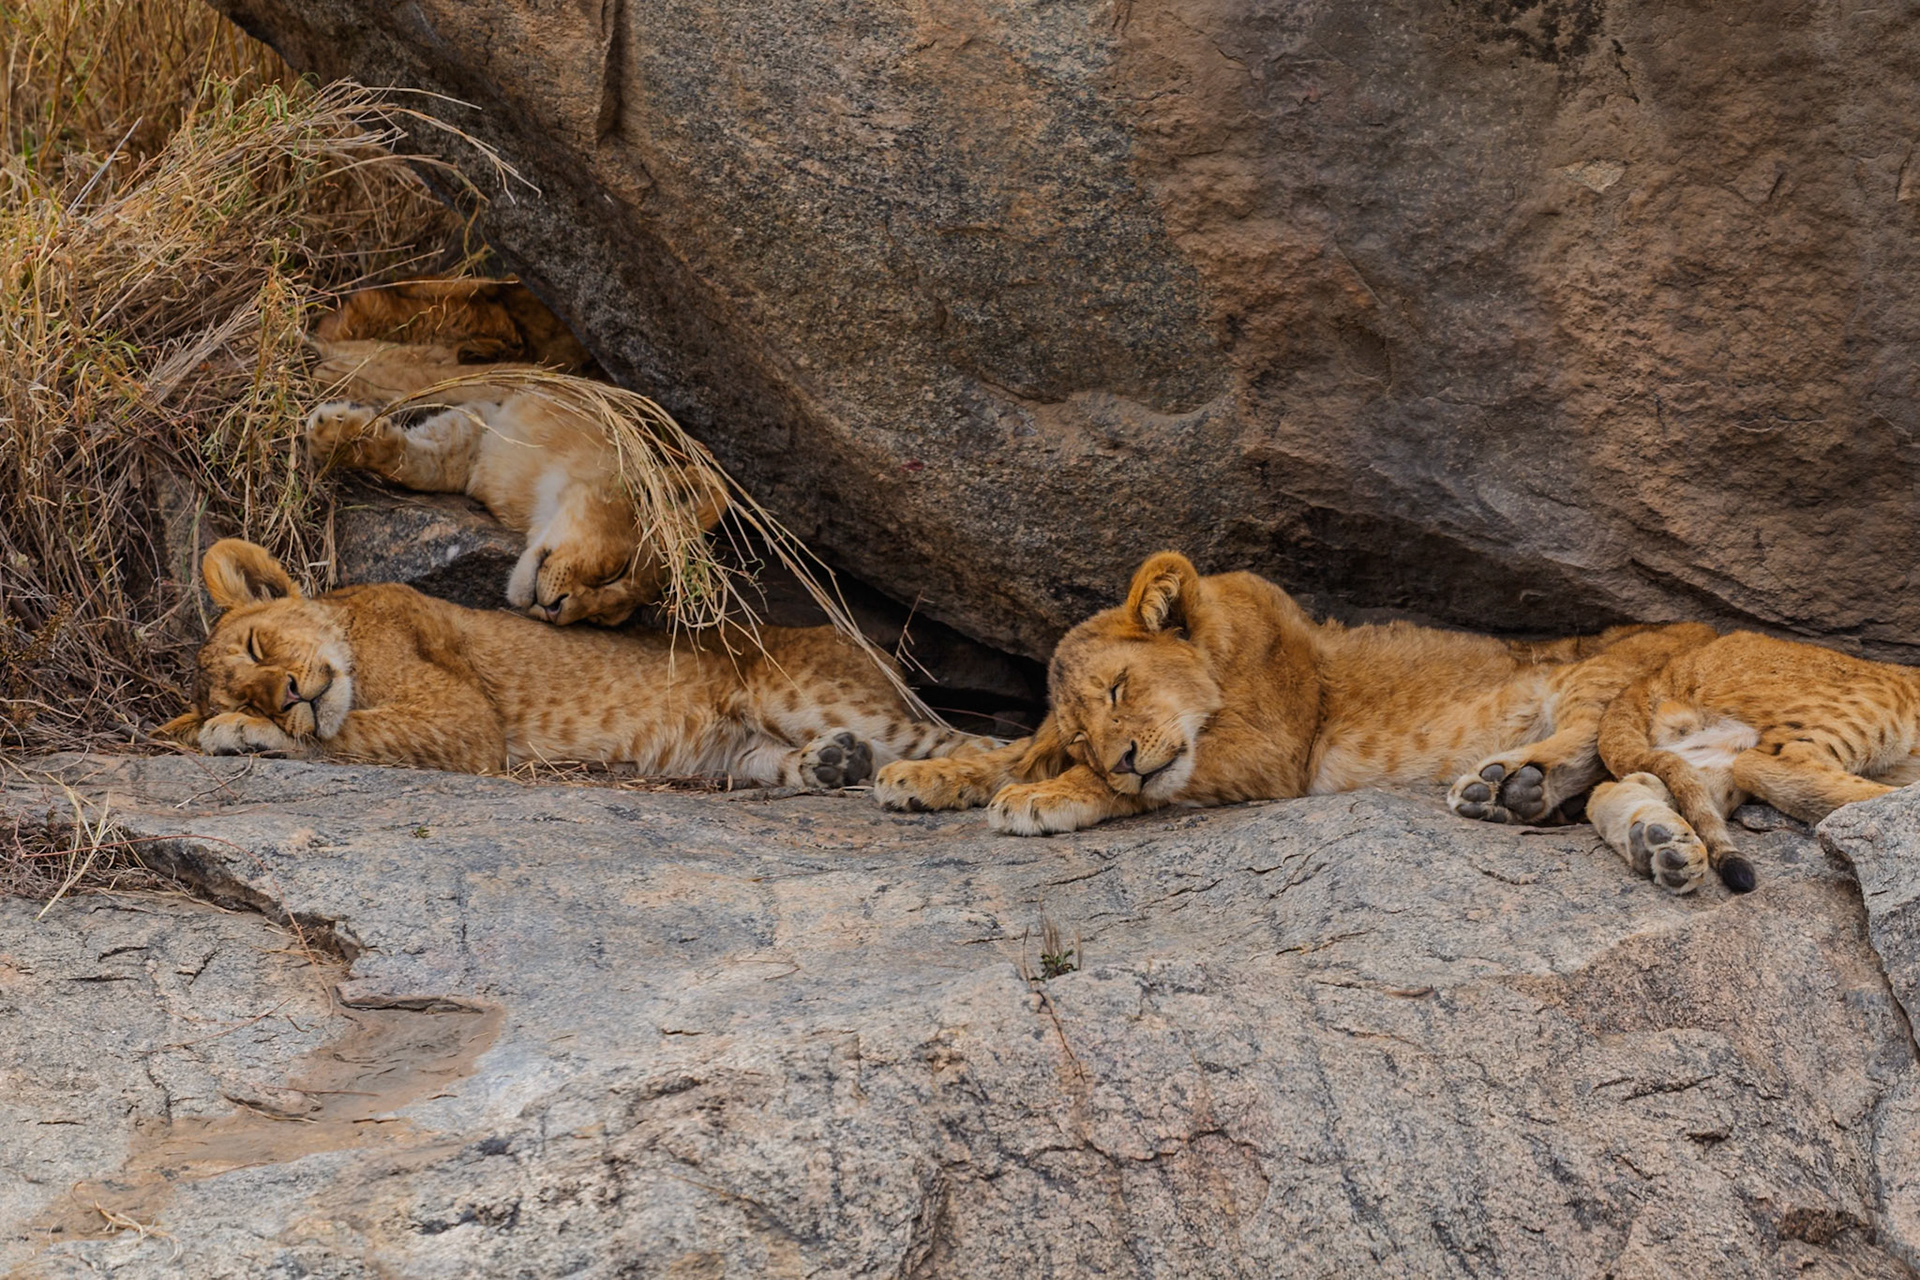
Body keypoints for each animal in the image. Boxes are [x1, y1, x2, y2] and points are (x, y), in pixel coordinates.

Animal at [159, 540, 995, 782]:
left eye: (259, 647)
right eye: (246, 689)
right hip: (739, 751)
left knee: (973, 741)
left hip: (804, 692)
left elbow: (348, 736)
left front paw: (246, 737)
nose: (285, 695)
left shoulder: (466, 721)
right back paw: (831, 765)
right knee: (776, 764)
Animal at [875, 550, 1716, 842]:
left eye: (1119, 687)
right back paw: (1522, 797)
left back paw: (1505, 782)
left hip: (1596, 672)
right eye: (1081, 732)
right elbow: (1014, 747)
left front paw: (1041, 797)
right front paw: (917, 776)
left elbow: (1138, 785)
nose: (1119, 760)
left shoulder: (1280, 754)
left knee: (1589, 735)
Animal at [1465, 632, 1920, 896]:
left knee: (1621, 786)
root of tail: (1659, 670)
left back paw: (1656, 844)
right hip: (1876, 698)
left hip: (1708, 750)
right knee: (1773, 764)